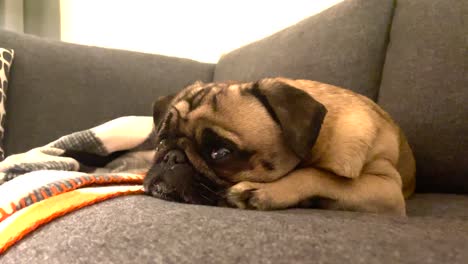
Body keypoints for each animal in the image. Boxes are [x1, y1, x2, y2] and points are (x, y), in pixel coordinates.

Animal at [144, 77, 416, 216]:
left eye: (221, 152)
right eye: (161, 140)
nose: (172, 157)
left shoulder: (386, 185)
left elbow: (319, 175)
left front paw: (264, 191)